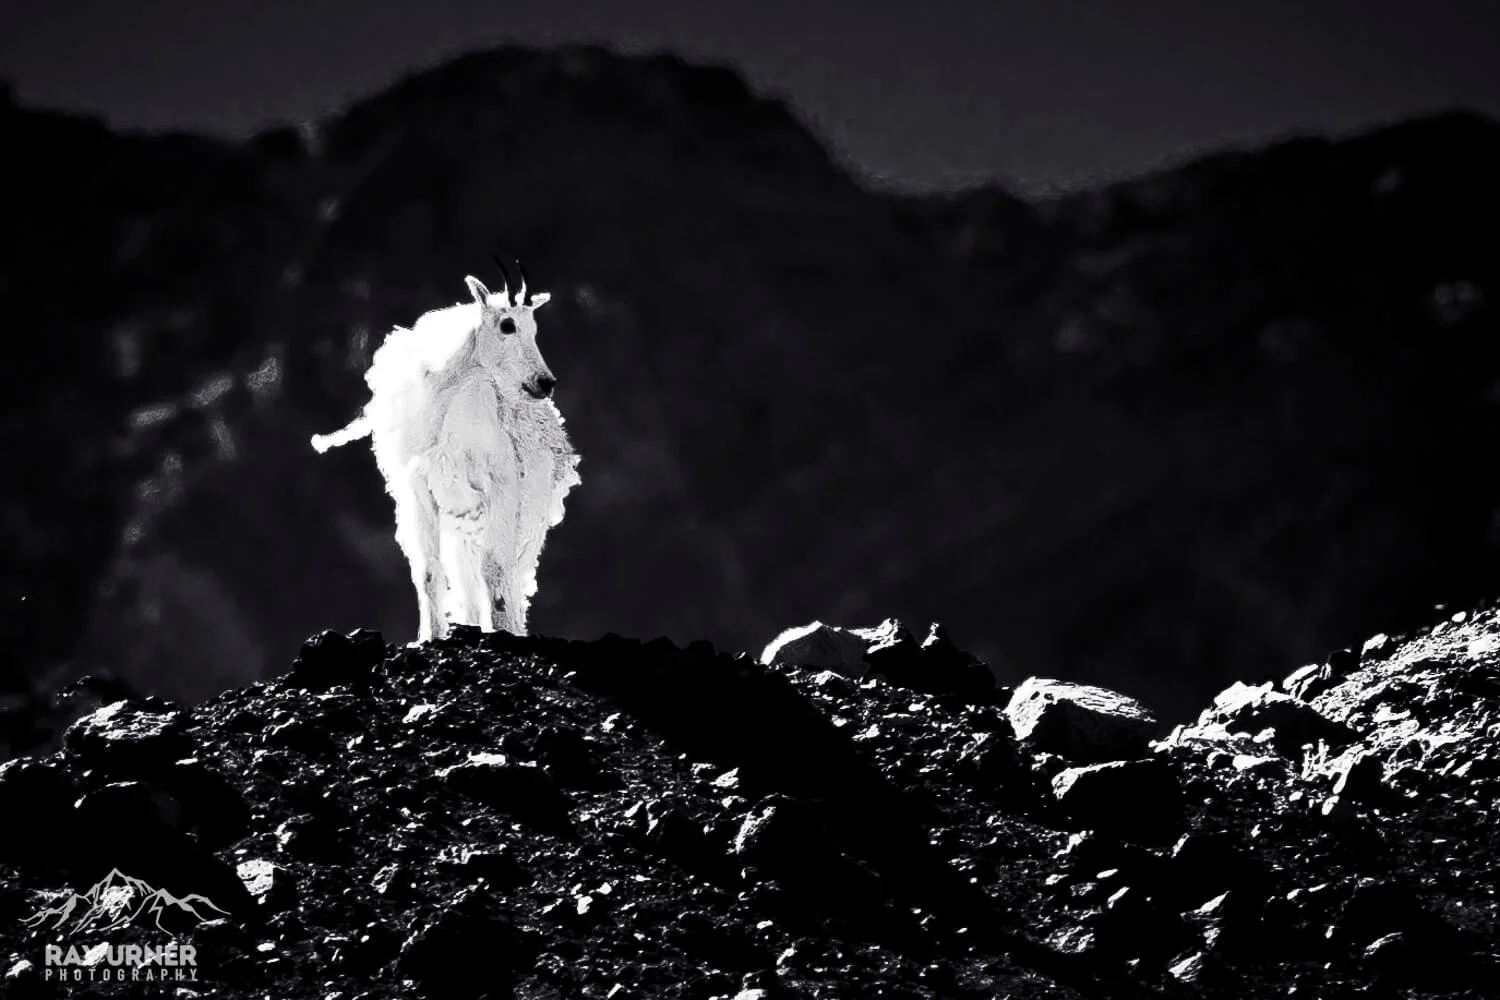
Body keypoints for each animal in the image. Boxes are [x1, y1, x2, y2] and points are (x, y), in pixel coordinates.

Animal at [311, 260, 581, 643]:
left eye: (534, 328)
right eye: (507, 324)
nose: (545, 382)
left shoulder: (501, 486)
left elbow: (497, 568)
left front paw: (502, 630)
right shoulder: (419, 489)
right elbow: (429, 572)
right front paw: (432, 635)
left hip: (531, 518)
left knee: (515, 574)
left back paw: (512, 625)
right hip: (462, 529)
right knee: (469, 585)